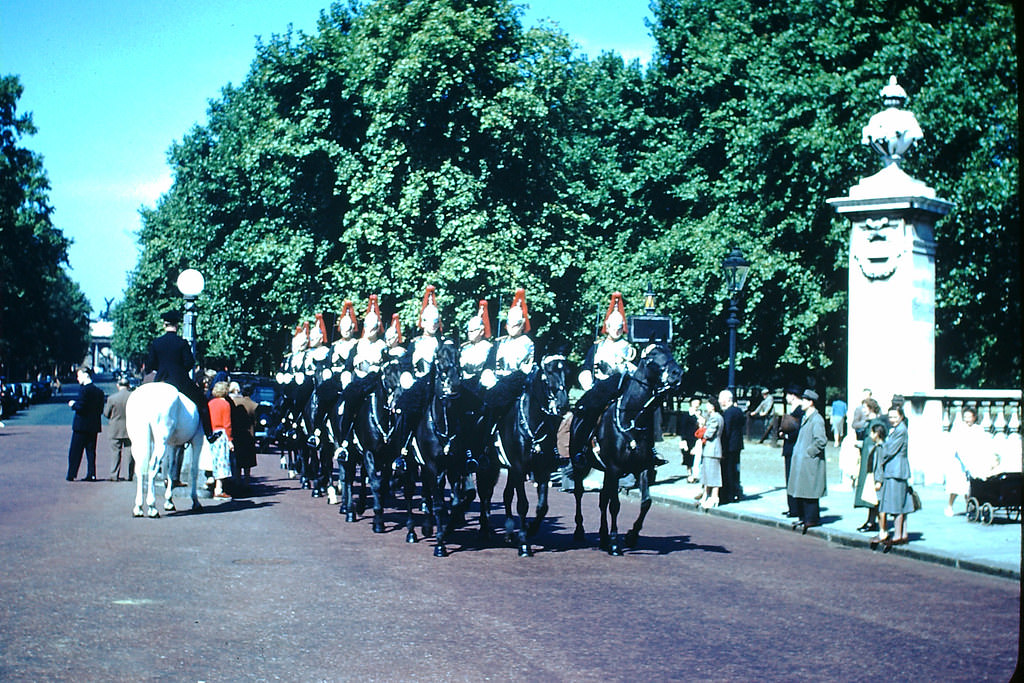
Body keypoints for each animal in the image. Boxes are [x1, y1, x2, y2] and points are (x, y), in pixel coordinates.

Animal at [126, 385, 204, 518]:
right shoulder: (198, 440)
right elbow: (194, 470)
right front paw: (195, 500)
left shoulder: (172, 445)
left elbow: (171, 468)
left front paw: (169, 501)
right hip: (160, 443)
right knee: (153, 467)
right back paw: (152, 507)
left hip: (138, 442)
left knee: (139, 469)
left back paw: (138, 508)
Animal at [475, 356, 573, 557]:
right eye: (548, 373)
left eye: (568, 373)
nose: (562, 405)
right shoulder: (520, 468)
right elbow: (523, 504)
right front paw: (524, 543)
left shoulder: (542, 470)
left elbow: (542, 507)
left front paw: (530, 529)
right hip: (488, 467)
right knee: (485, 494)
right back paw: (485, 529)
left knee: (504, 495)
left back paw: (508, 531)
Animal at [569, 342, 679, 557]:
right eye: (652, 356)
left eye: (670, 351)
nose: (676, 373)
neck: (633, 420)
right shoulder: (615, 469)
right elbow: (615, 505)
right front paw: (614, 543)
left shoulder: (642, 468)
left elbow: (646, 502)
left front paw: (631, 536)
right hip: (581, 466)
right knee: (579, 493)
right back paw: (580, 531)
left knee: (602, 499)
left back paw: (603, 537)